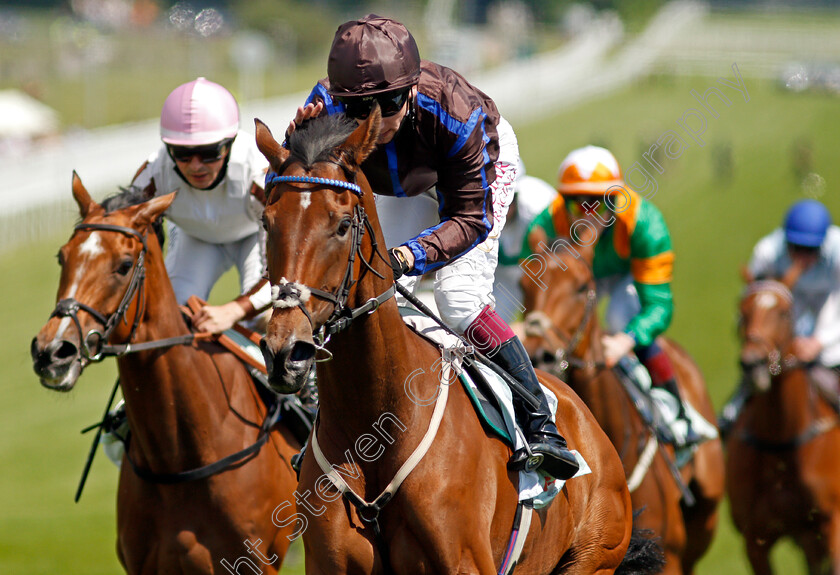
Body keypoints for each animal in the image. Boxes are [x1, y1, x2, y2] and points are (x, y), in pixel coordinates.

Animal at [256, 110, 664, 572]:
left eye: (342, 225)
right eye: (268, 222)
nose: (286, 352)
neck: (378, 424)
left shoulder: (465, 560)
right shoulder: (330, 561)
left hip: (594, 556)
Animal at [724, 274, 840, 575]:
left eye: (785, 313)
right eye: (741, 313)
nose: (753, 363)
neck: (782, 443)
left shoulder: (832, 523)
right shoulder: (755, 537)